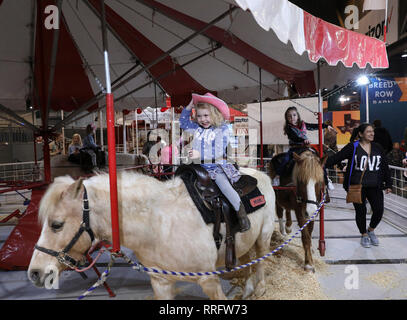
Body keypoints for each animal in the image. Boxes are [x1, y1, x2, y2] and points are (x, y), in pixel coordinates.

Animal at [28, 169, 276, 298]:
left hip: (263, 237)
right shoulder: (161, 283)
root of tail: (260, 174)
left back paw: (260, 287)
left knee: (261, 258)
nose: (34, 273)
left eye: (56, 224)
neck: (160, 225)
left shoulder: (209, 281)